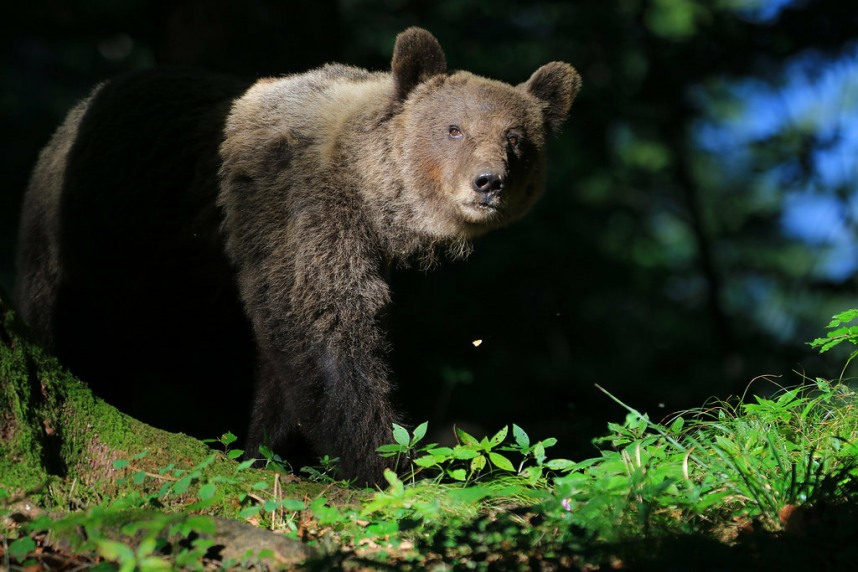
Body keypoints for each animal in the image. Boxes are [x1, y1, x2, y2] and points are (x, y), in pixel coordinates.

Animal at [13, 25, 580, 482]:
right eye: (454, 128)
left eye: (517, 139)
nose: (489, 182)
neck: (370, 197)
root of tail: (74, 115)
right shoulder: (297, 213)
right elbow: (322, 336)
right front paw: (384, 462)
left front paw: (272, 449)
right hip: (96, 236)